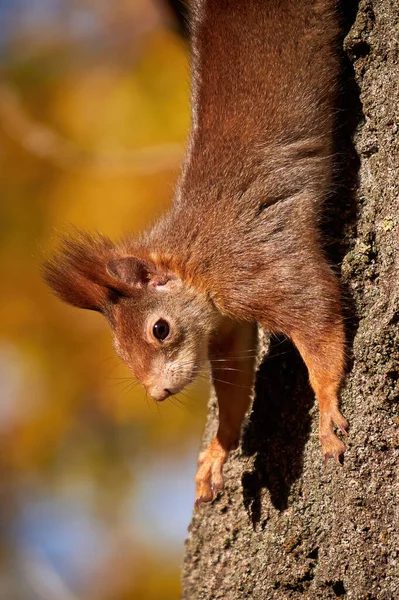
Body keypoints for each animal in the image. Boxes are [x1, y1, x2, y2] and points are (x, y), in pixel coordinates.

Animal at [44, 0, 350, 506]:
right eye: (119, 351)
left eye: (160, 329)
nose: (157, 395)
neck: (193, 267)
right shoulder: (228, 331)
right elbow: (236, 383)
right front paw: (218, 450)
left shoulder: (255, 267)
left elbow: (316, 312)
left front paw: (326, 408)